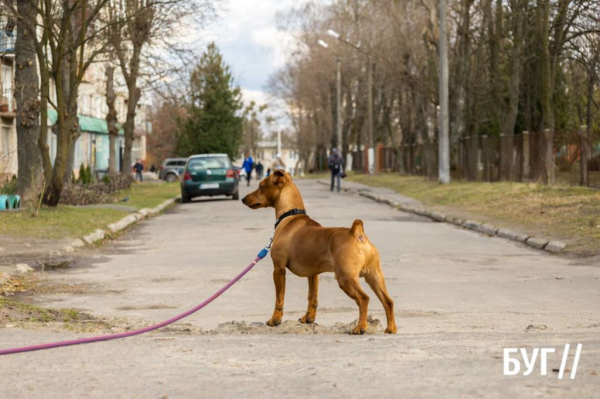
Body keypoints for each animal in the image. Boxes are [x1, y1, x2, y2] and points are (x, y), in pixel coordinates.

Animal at [241, 170, 396, 336]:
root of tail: (357, 233)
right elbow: (312, 298)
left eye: (261, 186)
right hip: (374, 276)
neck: (291, 215)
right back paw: (391, 328)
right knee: (388, 301)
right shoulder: (313, 274)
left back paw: (360, 327)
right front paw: (308, 318)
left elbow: (279, 298)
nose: (243, 199)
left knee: (364, 299)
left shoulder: (278, 269)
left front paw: (275, 320)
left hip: (345, 278)